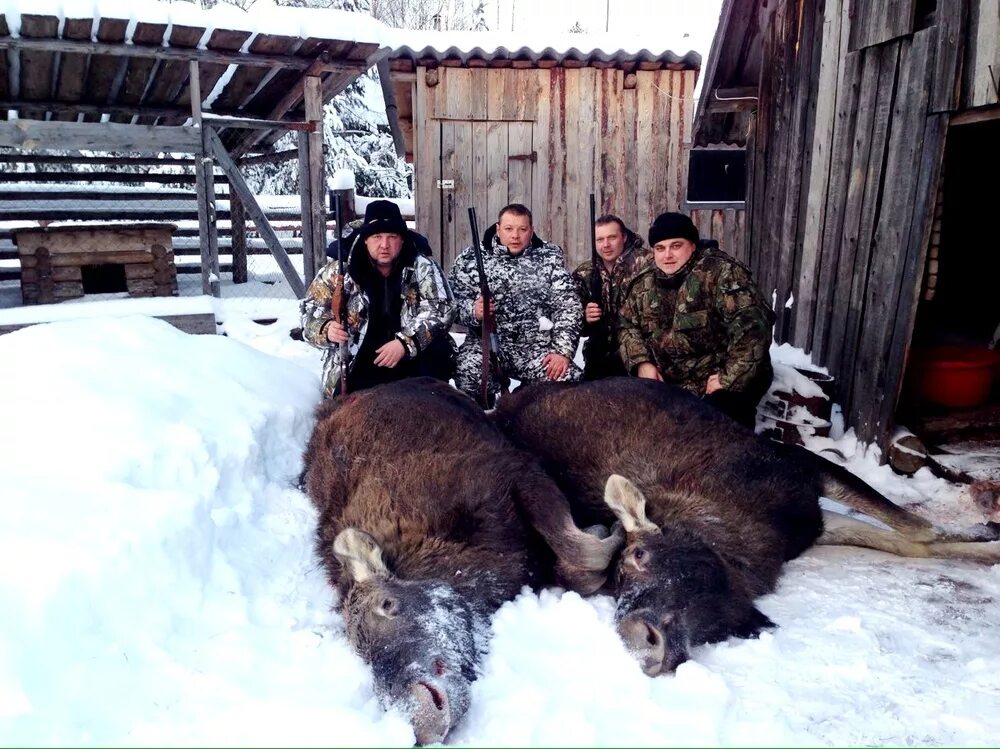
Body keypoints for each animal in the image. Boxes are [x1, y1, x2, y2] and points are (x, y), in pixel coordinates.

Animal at [300, 380, 620, 744]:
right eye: (360, 651)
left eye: (388, 604)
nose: (419, 717)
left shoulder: (518, 473)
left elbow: (582, 550)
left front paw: (612, 528)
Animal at [494, 376, 1000, 676]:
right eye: (628, 566)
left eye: (637, 554)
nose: (649, 643)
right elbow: (914, 536)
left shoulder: (805, 476)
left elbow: (915, 532)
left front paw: (988, 539)